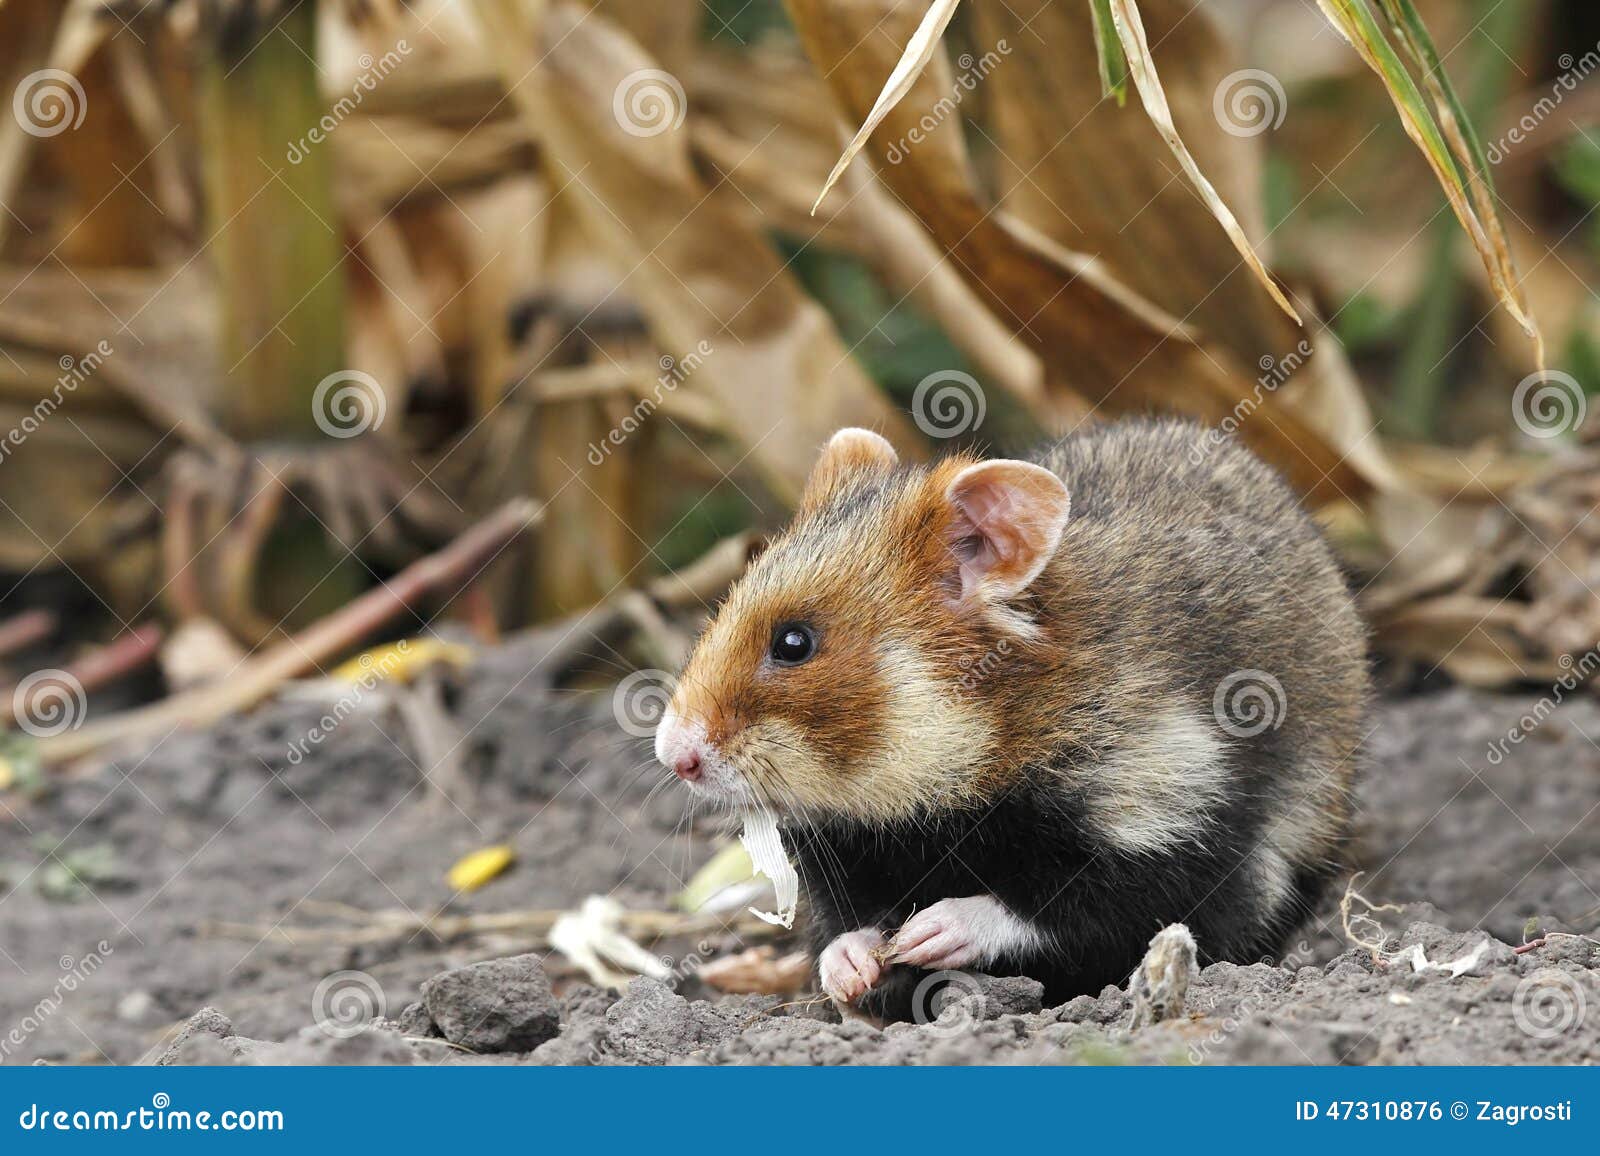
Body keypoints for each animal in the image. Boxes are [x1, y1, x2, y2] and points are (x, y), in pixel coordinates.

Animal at [655, 419, 1368, 1017]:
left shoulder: (1183, 832)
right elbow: (837, 922)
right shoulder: (839, 846)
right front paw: (852, 965)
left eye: (794, 642)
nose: (673, 756)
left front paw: (934, 929)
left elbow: (1069, 907)